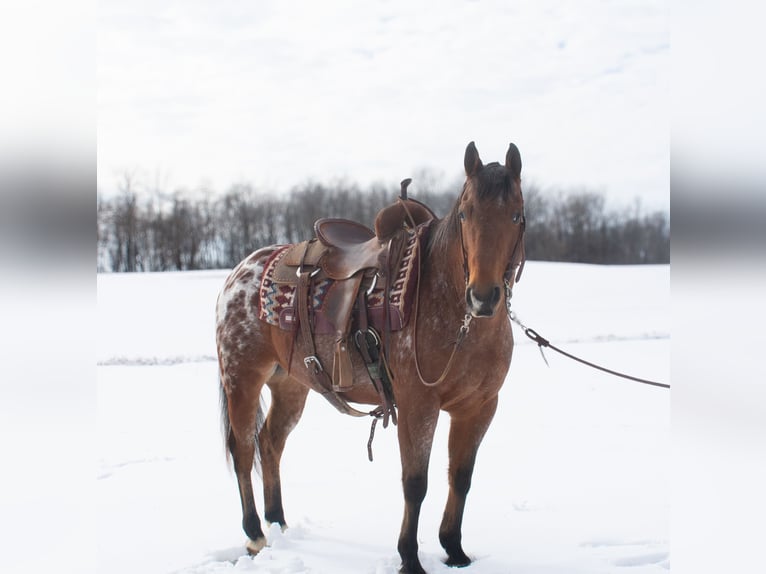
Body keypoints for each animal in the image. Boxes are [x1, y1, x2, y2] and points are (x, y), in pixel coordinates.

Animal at [216, 141, 528, 574]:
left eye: (516, 215)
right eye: (465, 213)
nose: (483, 296)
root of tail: (240, 272)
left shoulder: (480, 407)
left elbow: (461, 477)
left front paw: (455, 550)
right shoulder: (417, 406)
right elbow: (415, 484)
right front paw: (410, 558)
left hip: (291, 385)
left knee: (270, 443)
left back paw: (278, 523)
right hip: (242, 378)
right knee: (244, 449)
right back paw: (255, 534)